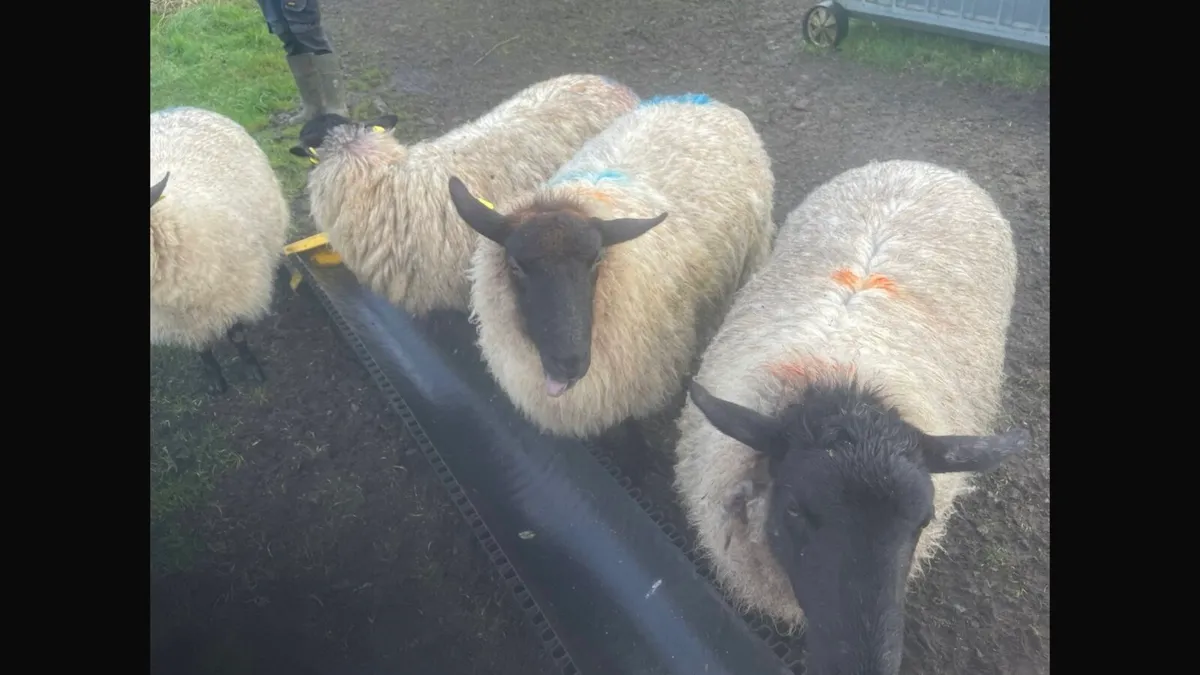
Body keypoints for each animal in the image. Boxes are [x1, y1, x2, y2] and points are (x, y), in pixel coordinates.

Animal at [151, 106, 290, 394]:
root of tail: (171, 109)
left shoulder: (233, 293)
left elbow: (236, 336)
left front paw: (252, 369)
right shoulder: (178, 322)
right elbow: (202, 348)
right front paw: (215, 379)